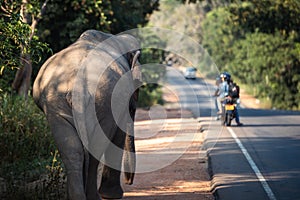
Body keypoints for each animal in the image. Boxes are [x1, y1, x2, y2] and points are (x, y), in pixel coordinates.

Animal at [33, 30, 141, 200]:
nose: (129, 181)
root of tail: (79, 88)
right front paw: (113, 195)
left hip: (56, 104)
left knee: (73, 151)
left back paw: (78, 196)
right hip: (101, 101)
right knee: (92, 150)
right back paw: (92, 196)